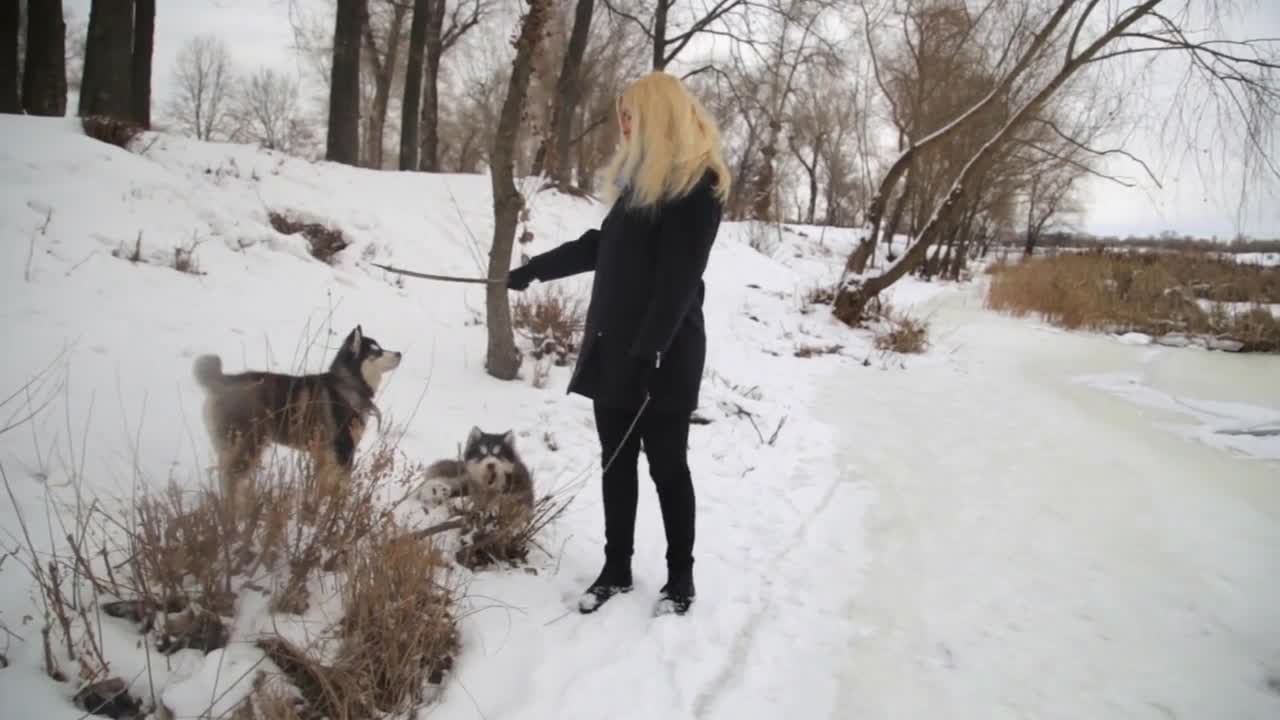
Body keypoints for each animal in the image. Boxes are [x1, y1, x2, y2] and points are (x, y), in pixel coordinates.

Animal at [190, 322, 394, 497]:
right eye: (378, 352)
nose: (398, 353)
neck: (348, 385)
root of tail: (222, 381)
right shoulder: (343, 451)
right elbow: (340, 488)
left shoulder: (323, 455)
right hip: (248, 445)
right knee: (231, 479)